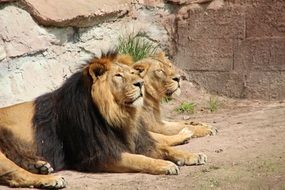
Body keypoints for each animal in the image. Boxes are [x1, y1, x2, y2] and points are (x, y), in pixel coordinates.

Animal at [0, 50, 205, 189]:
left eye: (133, 73)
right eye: (118, 76)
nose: (140, 84)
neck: (117, 114)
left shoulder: (140, 140)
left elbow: (165, 148)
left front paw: (192, 155)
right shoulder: (100, 154)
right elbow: (139, 159)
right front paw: (165, 164)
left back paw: (40, 166)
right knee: (14, 175)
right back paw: (49, 179)